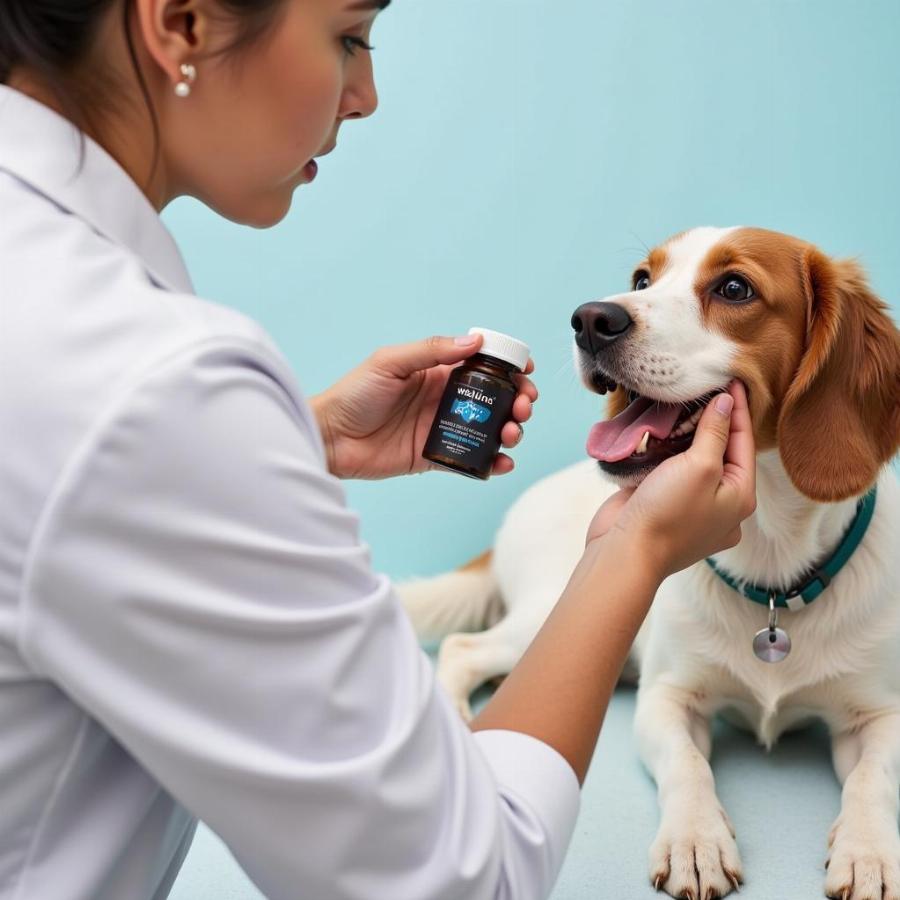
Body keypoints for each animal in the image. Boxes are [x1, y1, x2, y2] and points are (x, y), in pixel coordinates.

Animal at [400, 227, 900, 900]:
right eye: (642, 279)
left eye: (734, 288)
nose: (590, 318)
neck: (771, 570)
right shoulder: (668, 699)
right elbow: (688, 768)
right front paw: (696, 841)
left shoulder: (881, 715)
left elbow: (873, 779)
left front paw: (870, 852)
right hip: (554, 618)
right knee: (463, 648)